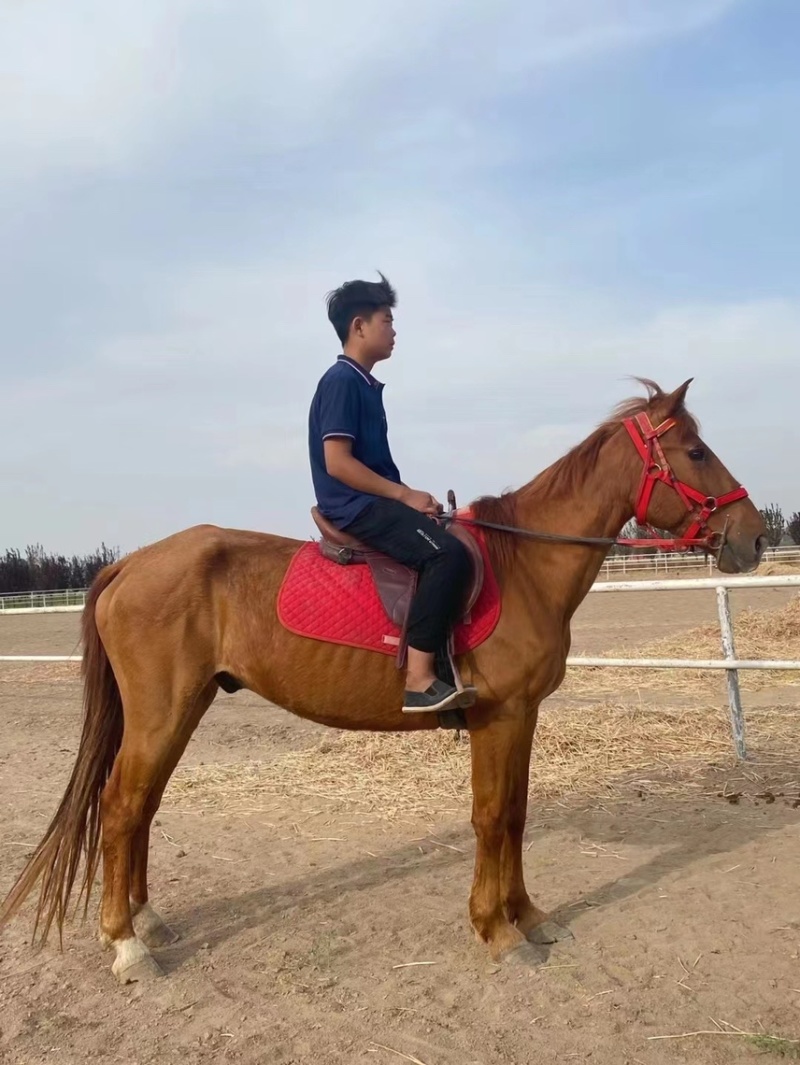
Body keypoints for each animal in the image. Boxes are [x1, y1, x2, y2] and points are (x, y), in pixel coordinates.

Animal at [0, 379, 767, 984]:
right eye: (696, 451)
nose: (753, 537)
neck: (523, 565)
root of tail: (130, 563)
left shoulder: (522, 717)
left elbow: (517, 815)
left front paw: (530, 917)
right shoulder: (498, 717)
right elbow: (493, 817)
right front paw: (497, 930)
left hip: (180, 710)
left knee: (141, 807)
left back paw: (148, 921)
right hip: (161, 712)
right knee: (122, 806)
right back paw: (128, 947)